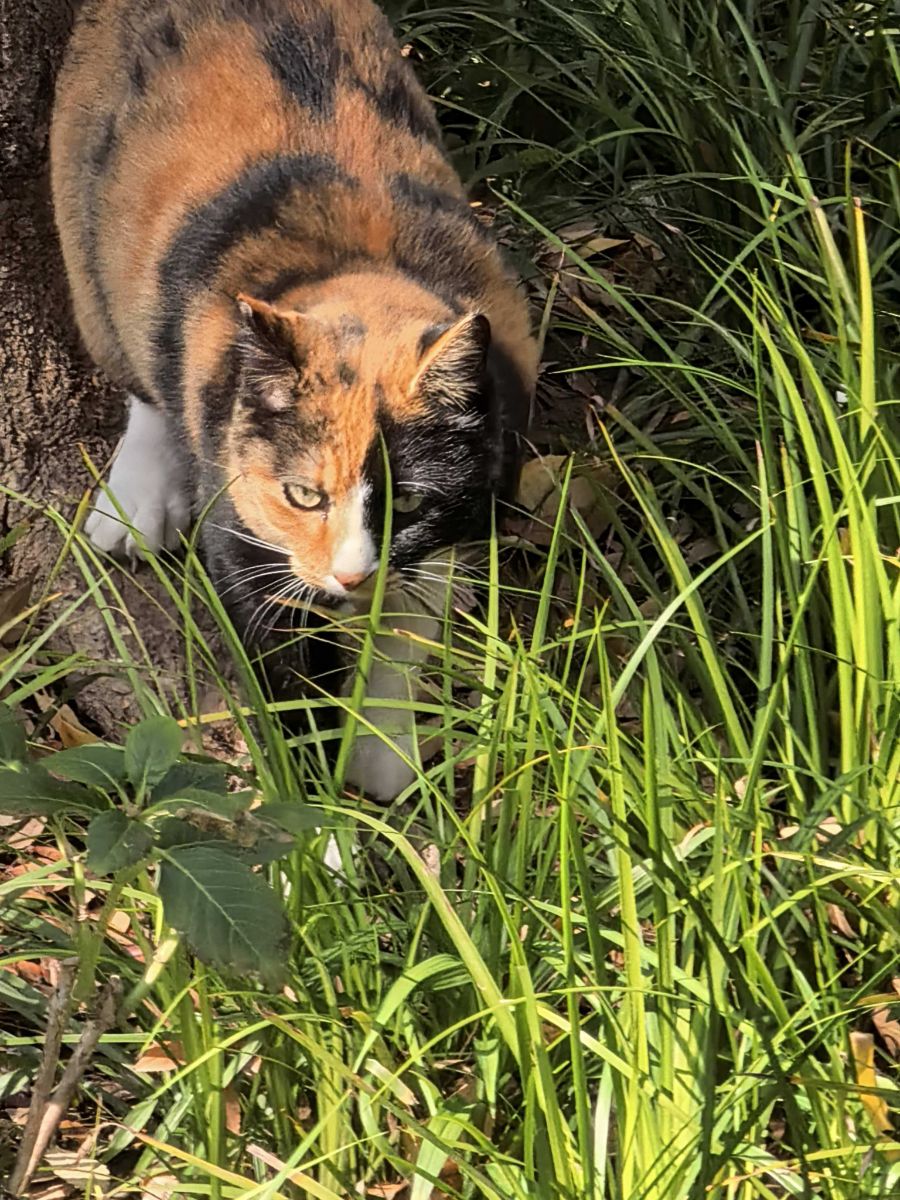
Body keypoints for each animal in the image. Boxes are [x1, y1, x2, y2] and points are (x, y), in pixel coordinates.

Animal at [51, 0, 538, 799]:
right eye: (303, 496)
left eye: (411, 502)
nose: (350, 574)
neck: (363, 265)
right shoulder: (242, 542)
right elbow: (288, 696)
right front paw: (313, 820)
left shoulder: (447, 543)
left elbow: (401, 641)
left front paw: (386, 758)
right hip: (86, 231)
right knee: (138, 375)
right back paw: (136, 509)